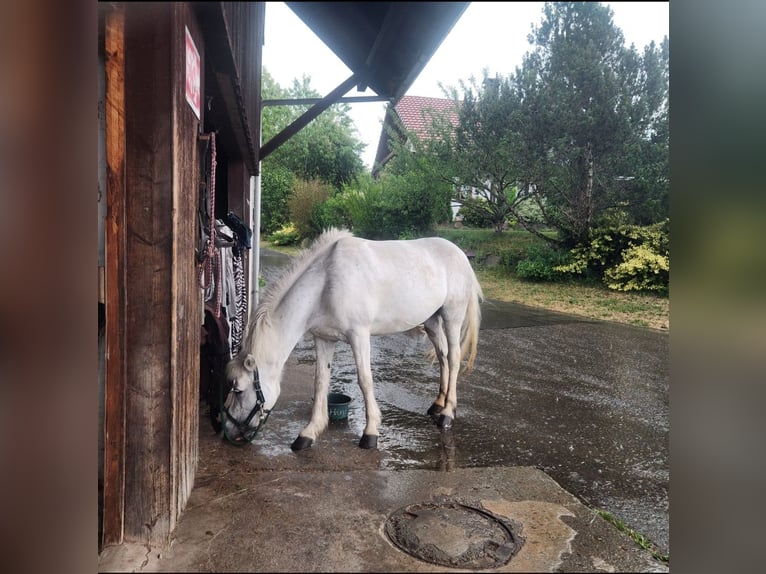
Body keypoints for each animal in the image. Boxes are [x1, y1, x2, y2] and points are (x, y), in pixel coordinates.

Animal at [223, 228, 483, 450]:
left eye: (238, 390)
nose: (227, 430)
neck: (325, 283)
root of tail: (460, 254)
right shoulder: (324, 339)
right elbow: (320, 382)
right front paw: (308, 433)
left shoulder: (359, 335)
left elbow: (365, 380)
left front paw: (370, 433)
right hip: (431, 321)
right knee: (443, 357)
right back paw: (438, 404)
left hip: (452, 317)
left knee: (454, 359)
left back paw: (447, 414)